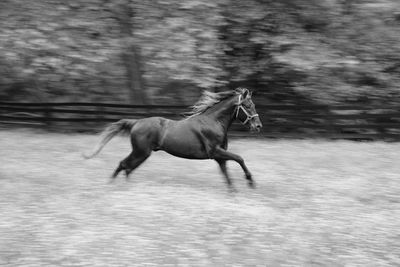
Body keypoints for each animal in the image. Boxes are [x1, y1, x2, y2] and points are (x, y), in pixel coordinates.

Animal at [84, 88, 262, 191]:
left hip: (141, 153)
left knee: (127, 167)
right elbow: (239, 158)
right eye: (247, 106)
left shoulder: (219, 156)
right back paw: (112, 186)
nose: (258, 126)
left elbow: (227, 175)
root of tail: (135, 123)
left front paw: (234, 193)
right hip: (141, 152)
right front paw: (250, 181)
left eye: (253, 105)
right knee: (124, 164)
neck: (213, 122)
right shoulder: (215, 152)